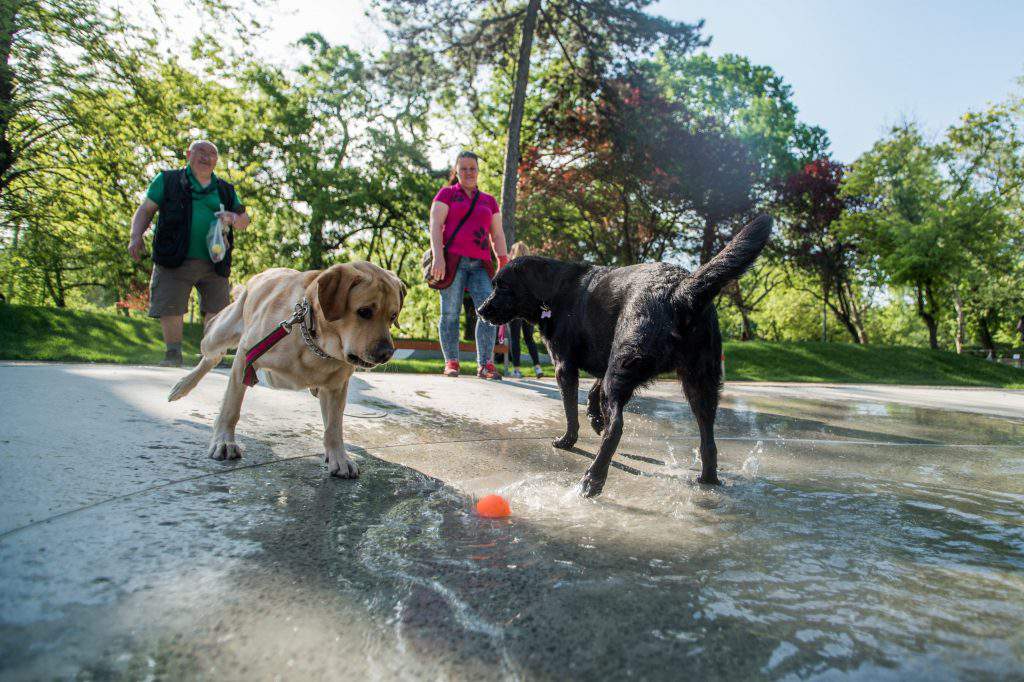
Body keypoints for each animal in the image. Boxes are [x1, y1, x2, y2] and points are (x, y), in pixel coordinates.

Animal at [167, 260, 403, 477]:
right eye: (364, 311)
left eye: (392, 316)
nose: (387, 353)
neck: (312, 340)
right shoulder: (246, 356)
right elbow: (231, 407)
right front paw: (224, 441)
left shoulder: (336, 386)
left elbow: (334, 427)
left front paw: (339, 457)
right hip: (219, 335)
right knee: (212, 356)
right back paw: (182, 386)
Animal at [475, 212, 770, 493]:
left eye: (502, 286)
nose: (479, 309)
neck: (554, 289)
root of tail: (680, 290)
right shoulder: (606, 358)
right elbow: (592, 393)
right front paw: (595, 419)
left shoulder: (565, 367)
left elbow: (571, 411)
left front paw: (569, 439)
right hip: (699, 382)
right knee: (707, 437)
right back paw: (708, 478)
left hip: (624, 372)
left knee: (616, 428)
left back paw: (593, 478)